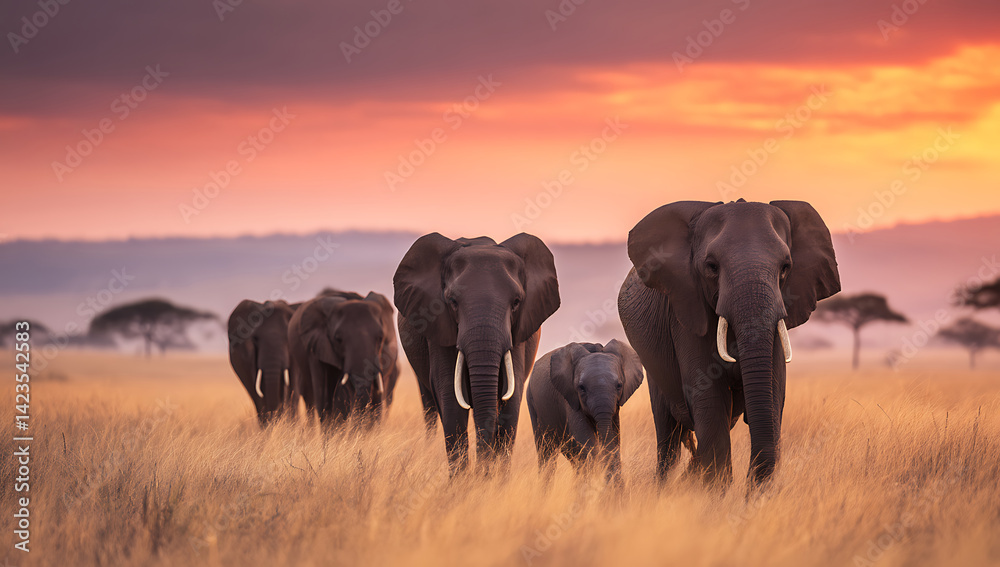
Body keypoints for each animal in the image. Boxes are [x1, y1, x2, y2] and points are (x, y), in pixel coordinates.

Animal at [393, 233, 560, 474]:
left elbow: (512, 397)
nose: (483, 472)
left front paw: (494, 479)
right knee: (429, 402)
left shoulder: (519, 333)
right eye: (452, 301)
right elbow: (450, 397)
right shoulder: (439, 326)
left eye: (516, 302)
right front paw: (464, 482)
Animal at [526, 340, 644, 479]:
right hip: (532, 401)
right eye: (581, 388)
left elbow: (614, 439)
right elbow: (586, 439)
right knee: (547, 452)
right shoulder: (570, 397)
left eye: (619, 385)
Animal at [618, 199, 840, 487]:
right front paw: (715, 494)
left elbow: (773, 393)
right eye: (712, 266)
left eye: (785, 267)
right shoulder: (686, 310)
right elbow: (709, 398)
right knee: (668, 435)